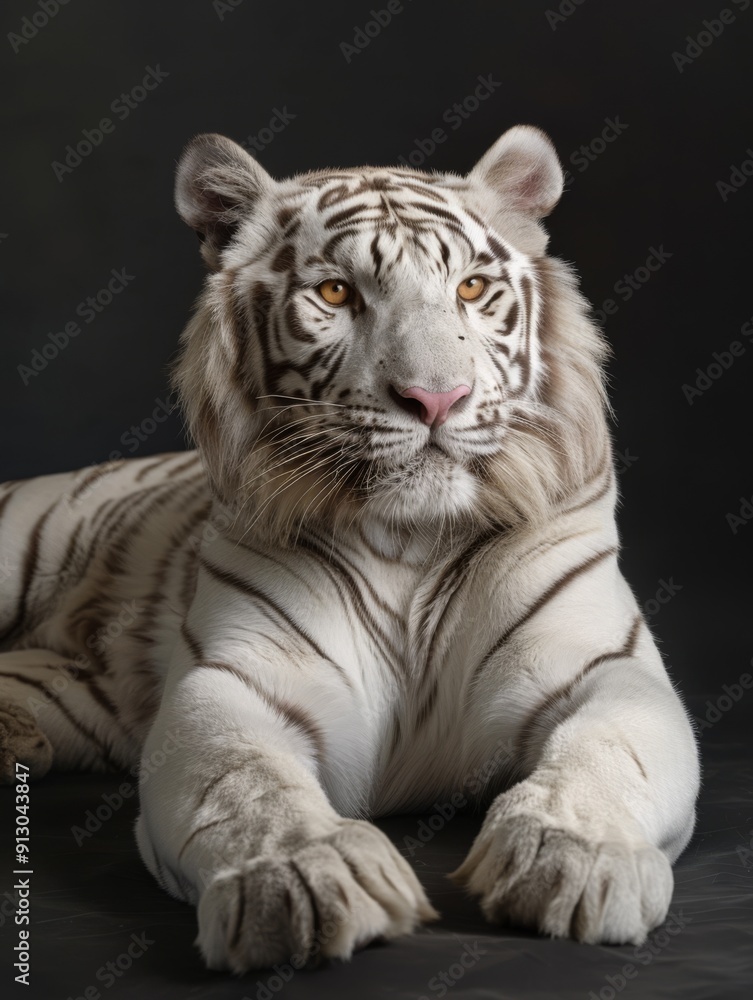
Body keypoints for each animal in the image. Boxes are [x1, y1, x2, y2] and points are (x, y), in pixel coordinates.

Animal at [0, 125, 700, 973]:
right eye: (336, 295)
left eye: (471, 289)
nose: (435, 399)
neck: (409, 541)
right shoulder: (235, 684)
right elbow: (247, 785)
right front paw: (299, 880)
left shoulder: (607, 672)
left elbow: (602, 758)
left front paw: (574, 860)